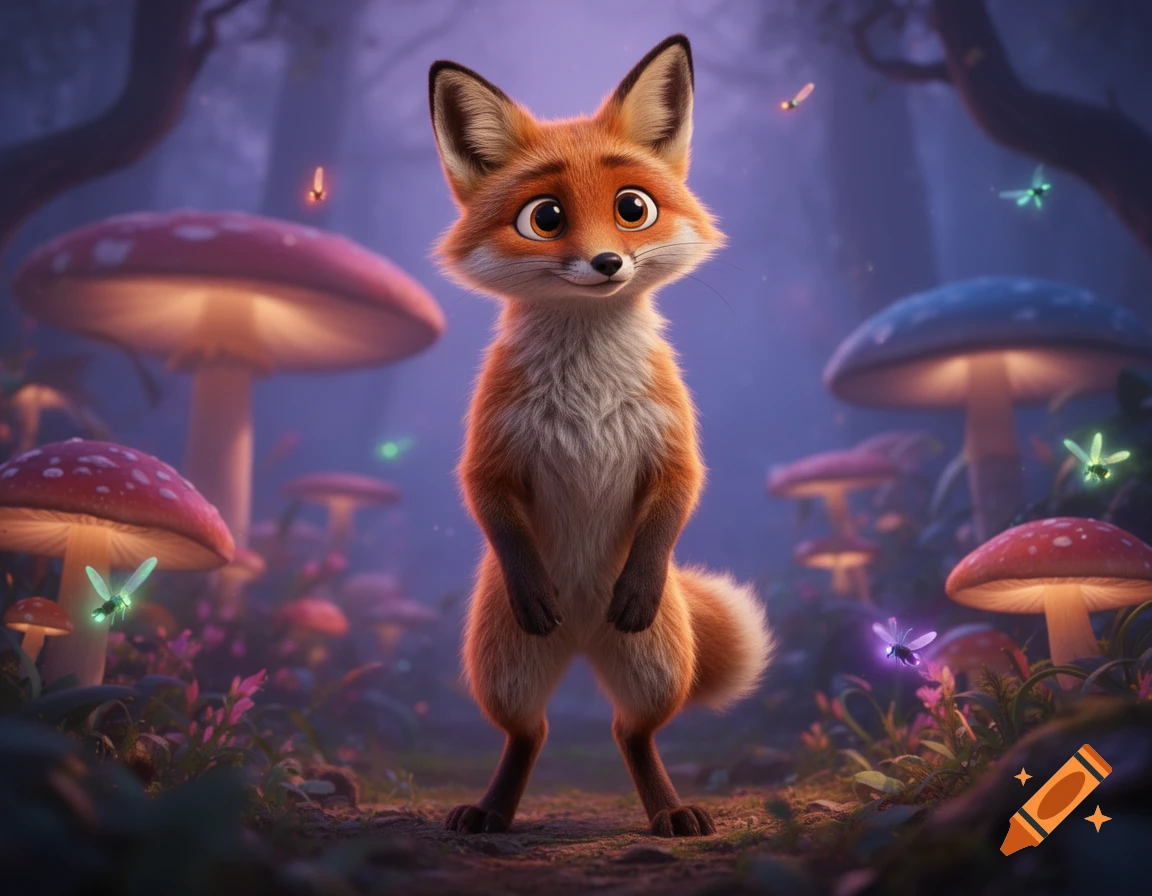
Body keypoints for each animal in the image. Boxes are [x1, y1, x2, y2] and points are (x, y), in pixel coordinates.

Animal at [428, 34, 775, 838]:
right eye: (546, 217)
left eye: (632, 208)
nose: (607, 261)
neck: (586, 389)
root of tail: (584, 636)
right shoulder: (491, 445)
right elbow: (485, 497)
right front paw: (534, 587)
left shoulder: (672, 438)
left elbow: (679, 494)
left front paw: (638, 583)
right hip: (505, 671)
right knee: (532, 734)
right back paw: (493, 811)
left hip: (653, 667)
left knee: (631, 733)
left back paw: (670, 811)